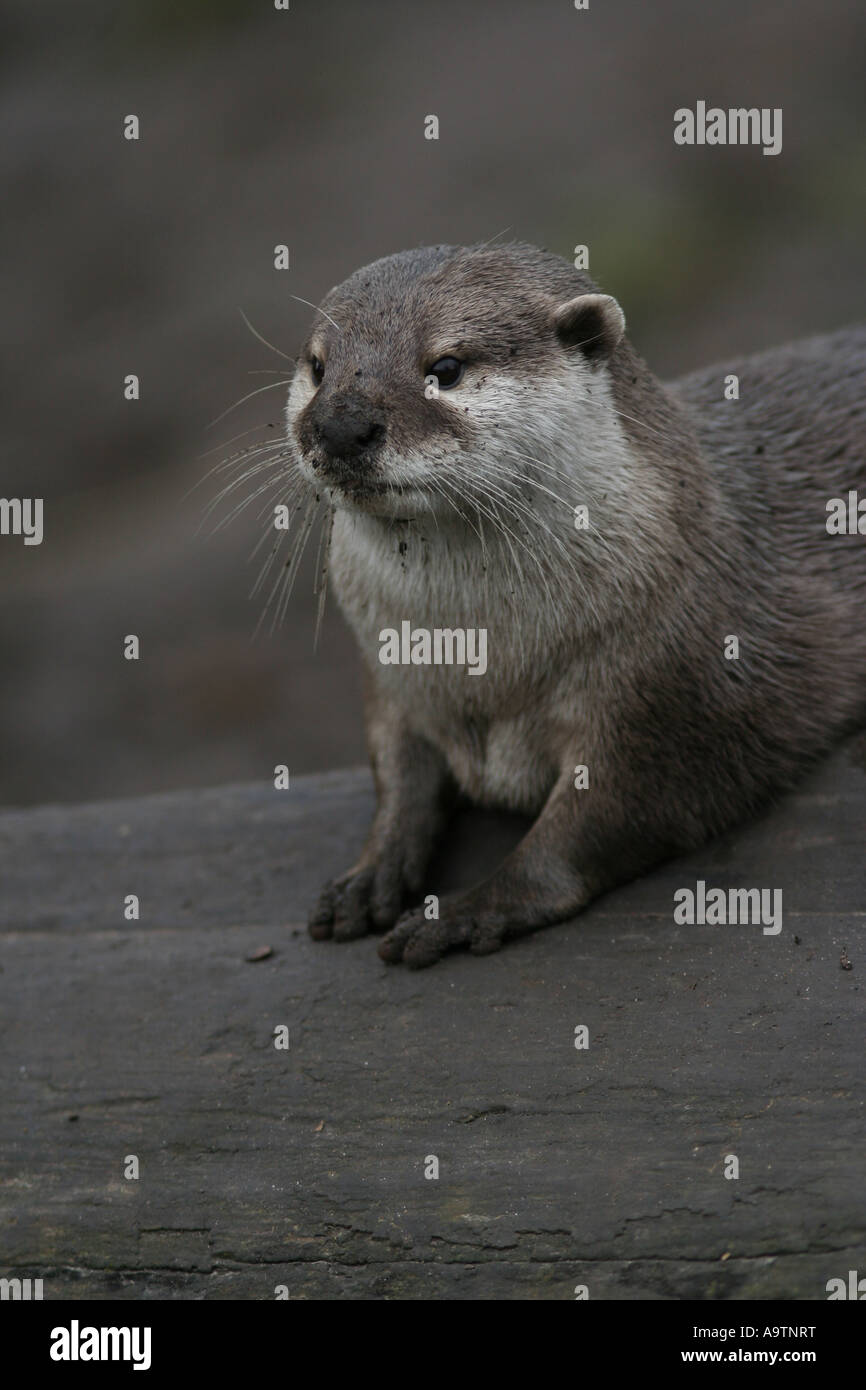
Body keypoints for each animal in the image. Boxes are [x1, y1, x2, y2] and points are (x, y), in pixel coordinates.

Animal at [282, 242, 866, 968]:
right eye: (318, 366)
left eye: (444, 368)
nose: (340, 424)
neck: (480, 660)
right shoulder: (390, 675)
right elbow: (397, 773)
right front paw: (370, 873)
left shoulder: (668, 684)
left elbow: (603, 820)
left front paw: (473, 908)